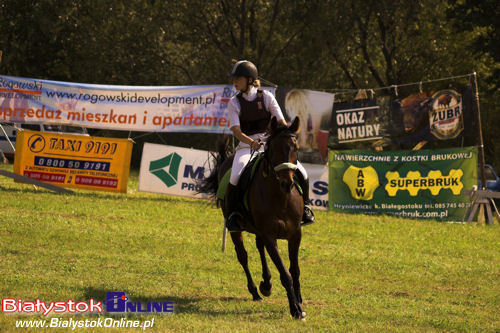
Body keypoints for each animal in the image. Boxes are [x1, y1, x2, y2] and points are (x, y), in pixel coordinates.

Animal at [198, 116, 304, 320]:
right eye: (274, 149)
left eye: (295, 148)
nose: (287, 183)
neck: (282, 198)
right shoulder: (270, 236)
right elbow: (285, 273)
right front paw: (295, 309)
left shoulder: (295, 234)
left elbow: (294, 270)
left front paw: (299, 302)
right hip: (234, 227)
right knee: (243, 256)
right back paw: (255, 291)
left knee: (259, 247)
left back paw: (266, 284)